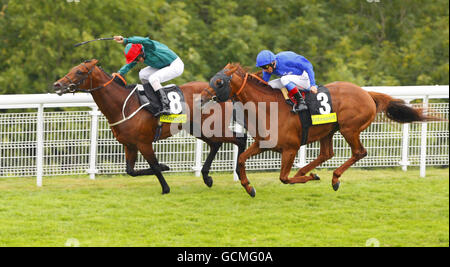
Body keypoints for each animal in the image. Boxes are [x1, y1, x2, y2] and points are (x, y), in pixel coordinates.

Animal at [54, 59, 248, 195]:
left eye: (79, 71)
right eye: (72, 69)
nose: (57, 84)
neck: (123, 105)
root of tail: (223, 94)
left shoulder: (144, 143)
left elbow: (154, 166)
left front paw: (165, 185)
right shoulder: (129, 145)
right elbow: (130, 171)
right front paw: (165, 167)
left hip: (213, 127)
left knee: (239, 139)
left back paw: (239, 174)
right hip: (198, 129)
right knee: (216, 144)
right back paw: (207, 177)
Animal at [201, 62, 440, 197]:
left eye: (219, 82)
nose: (202, 97)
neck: (268, 107)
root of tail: (366, 93)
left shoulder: (290, 148)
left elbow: (284, 178)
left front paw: (312, 177)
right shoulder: (263, 144)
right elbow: (241, 160)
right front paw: (249, 187)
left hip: (349, 128)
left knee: (358, 152)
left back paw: (333, 178)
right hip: (328, 130)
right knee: (327, 153)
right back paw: (306, 171)